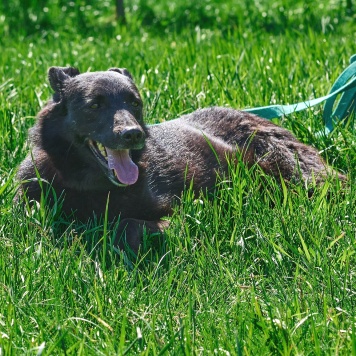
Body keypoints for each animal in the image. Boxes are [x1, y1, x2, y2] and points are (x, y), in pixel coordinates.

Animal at [16, 68, 344, 252]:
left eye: (135, 103)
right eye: (94, 105)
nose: (133, 134)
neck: (91, 185)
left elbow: (128, 224)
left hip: (283, 164)